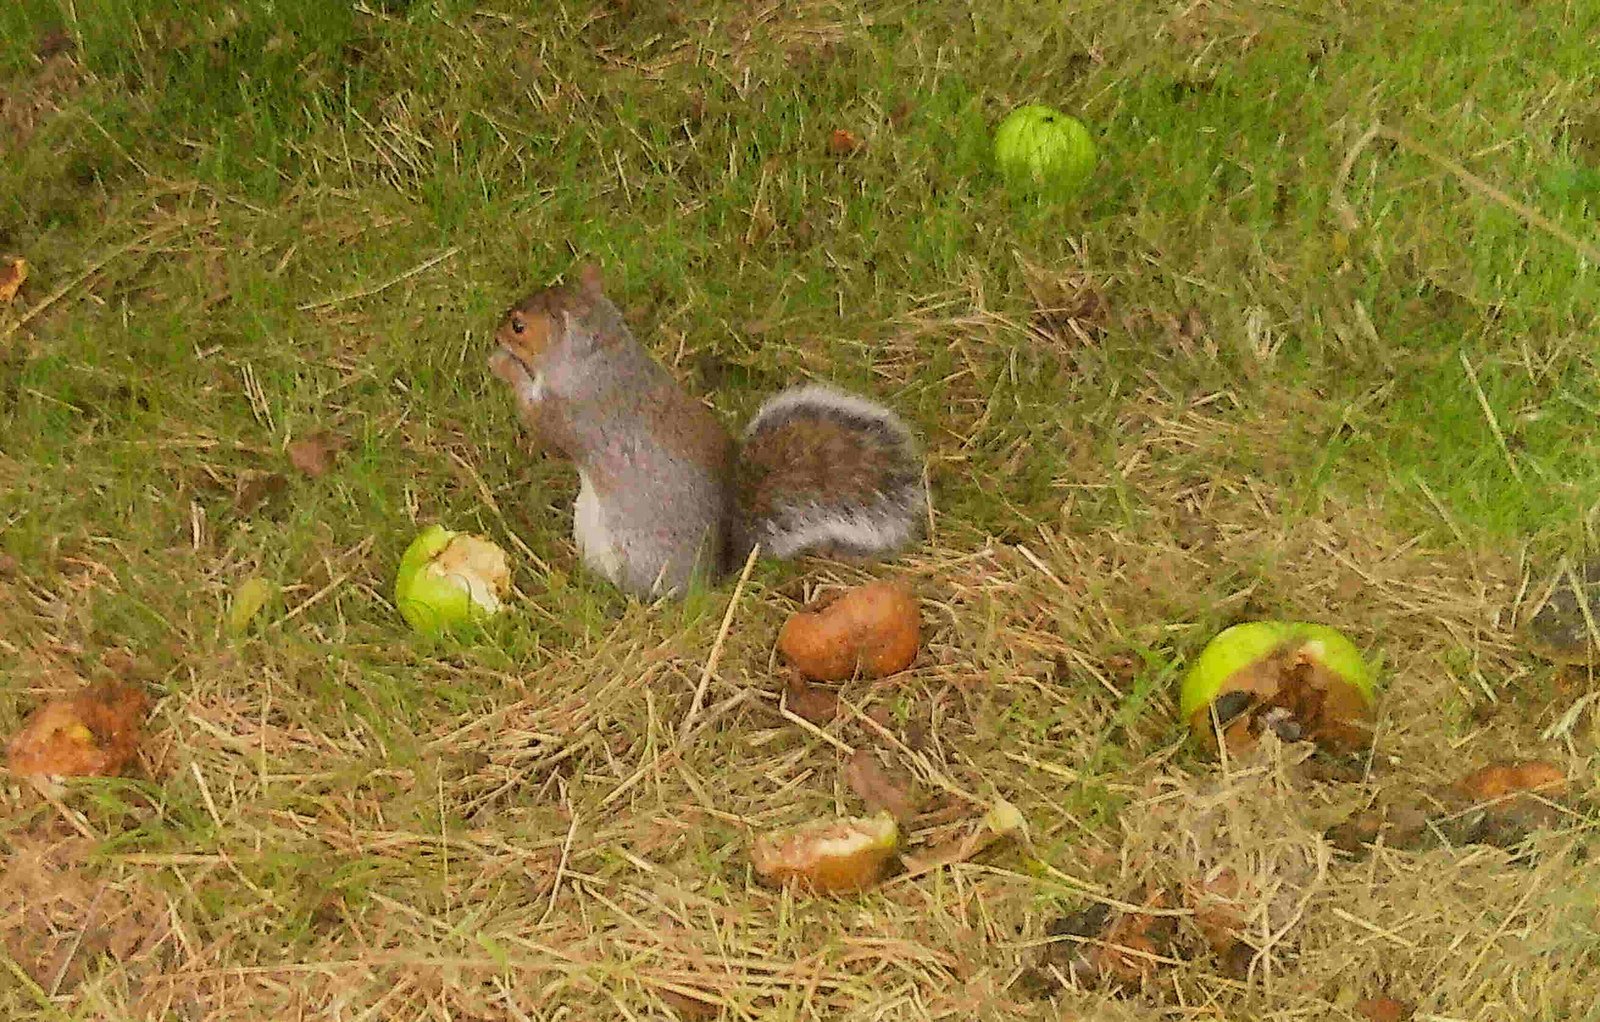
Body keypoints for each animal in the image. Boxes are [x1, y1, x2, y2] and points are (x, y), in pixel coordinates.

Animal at [486, 263, 928, 599]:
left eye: (520, 326)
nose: (497, 330)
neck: (603, 358)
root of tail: (716, 573)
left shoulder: (572, 413)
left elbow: (545, 430)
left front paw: (503, 366)